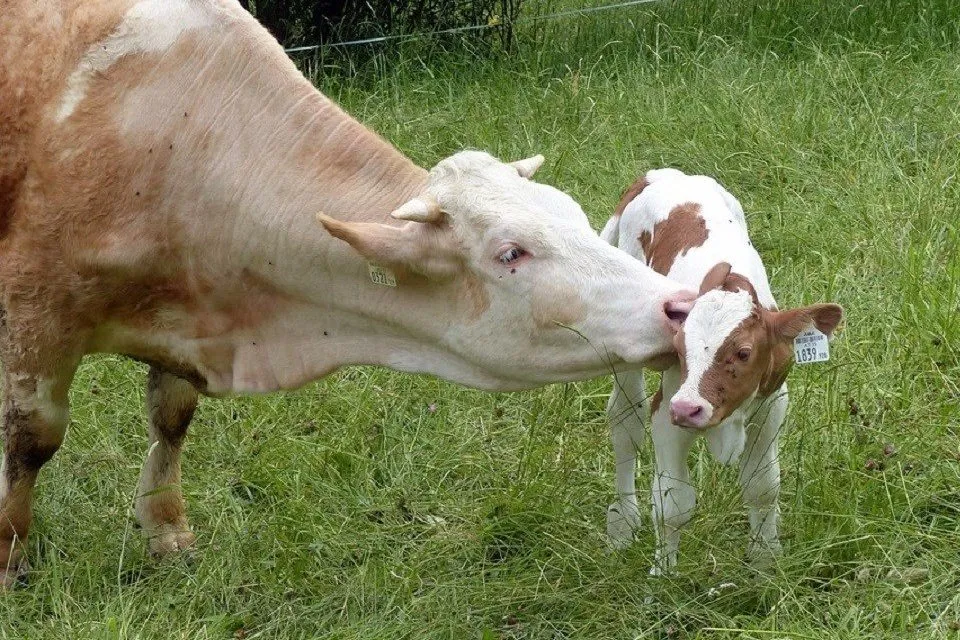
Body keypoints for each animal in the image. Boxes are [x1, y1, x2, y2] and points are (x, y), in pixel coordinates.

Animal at [0, 1, 696, 587]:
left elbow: (172, 418)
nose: (678, 306)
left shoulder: (184, 321)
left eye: (575, 215)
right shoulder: (34, 307)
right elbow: (33, 436)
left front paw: (167, 531)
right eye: (510, 254)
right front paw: (10, 555)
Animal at [600, 168, 842, 574]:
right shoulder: (668, 409)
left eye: (743, 353)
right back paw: (623, 522)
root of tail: (660, 174)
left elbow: (762, 487)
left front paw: (765, 561)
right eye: (679, 348)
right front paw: (663, 575)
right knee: (625, 422)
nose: (689, 409)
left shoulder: (771, 404)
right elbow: (673, 503)